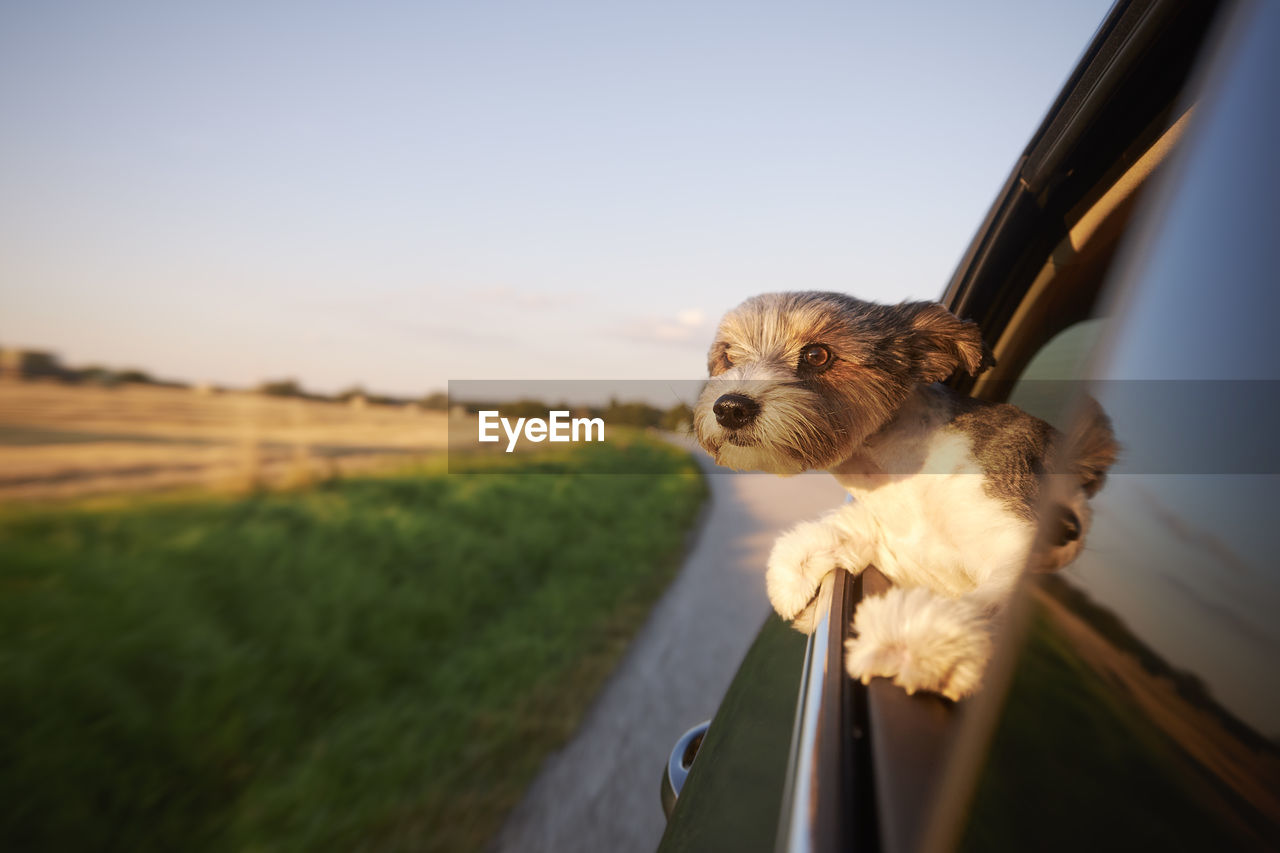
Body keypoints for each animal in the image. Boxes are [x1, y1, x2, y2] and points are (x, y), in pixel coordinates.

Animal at [696, 290, 1116, 696]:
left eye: (817, 354)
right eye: (729, 354)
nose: (730, 407)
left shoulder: (1010, 536)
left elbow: (995, 598)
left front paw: (920, 645)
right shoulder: (889, 537)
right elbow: (829, 538)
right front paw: (792, 580)